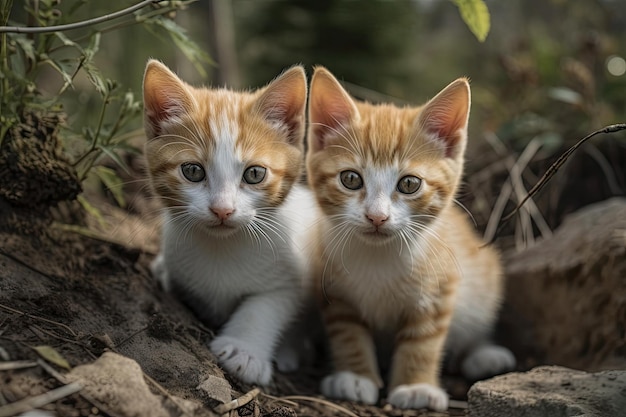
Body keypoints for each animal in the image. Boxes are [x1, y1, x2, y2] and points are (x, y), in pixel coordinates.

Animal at [143, 60, 316, 386]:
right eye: (192, 171)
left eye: (255, 174)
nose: (222, 210)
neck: (222, 248)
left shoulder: (293, 277)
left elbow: (265, 307)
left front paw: (244, 351)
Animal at [304, 67, 516, 410]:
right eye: (350, 179)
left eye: (409, 184)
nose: (377, 217)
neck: (379, 257)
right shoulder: (335, 291)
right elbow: (348, 332)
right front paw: (355, 376)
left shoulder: (441, 287)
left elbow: (423, 340)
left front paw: (416, 387)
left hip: (482, 279)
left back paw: (484, 354)